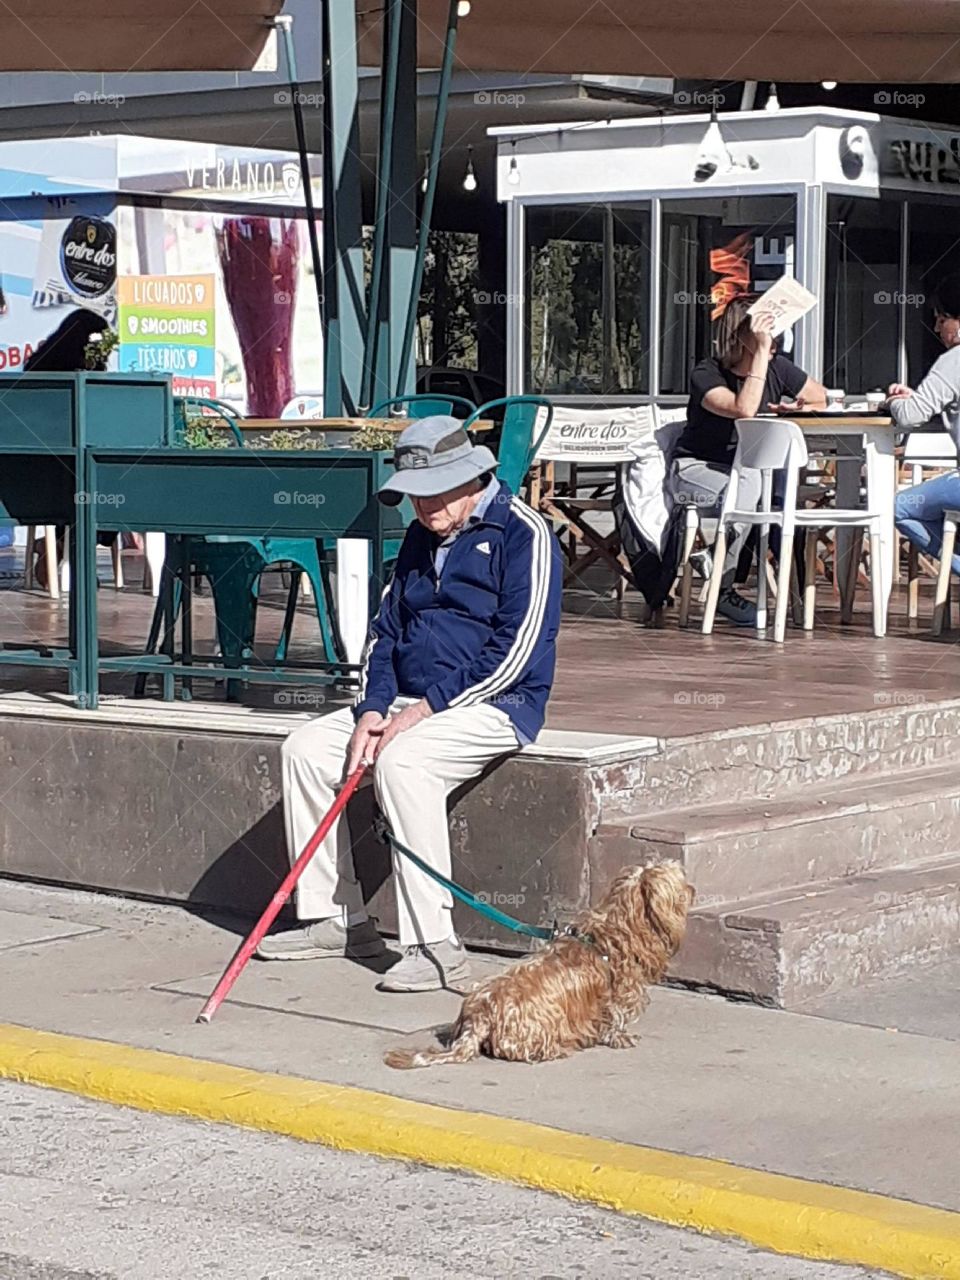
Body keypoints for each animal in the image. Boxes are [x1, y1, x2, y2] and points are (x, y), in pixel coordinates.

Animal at [384, 860, 691, 1070]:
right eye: (680, 883)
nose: (693, 888)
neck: (616, 927)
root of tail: (479, 1016)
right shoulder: (616, 997)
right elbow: (614, 1019)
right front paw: (620, 1037)